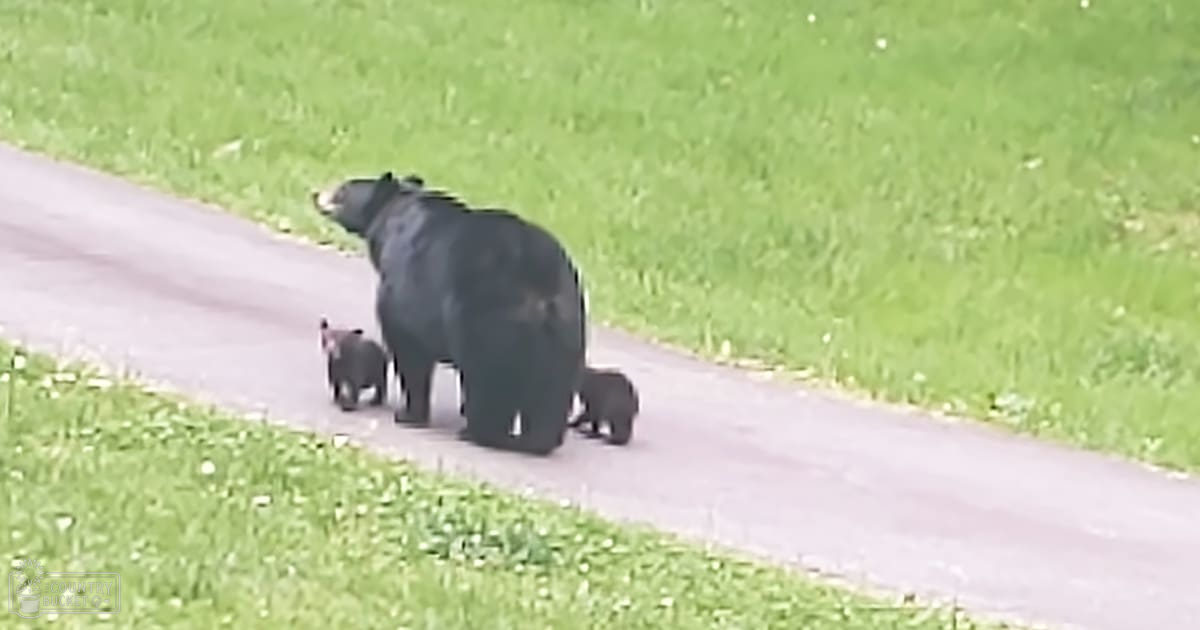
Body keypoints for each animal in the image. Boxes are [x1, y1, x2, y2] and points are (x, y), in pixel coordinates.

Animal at [312, 171, 587, 456]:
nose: (315, 194)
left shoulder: (405, 292)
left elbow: (409, 352)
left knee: (489, 378)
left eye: (343, 189)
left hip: (487, 317)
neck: (395, 216)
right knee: (551, 391)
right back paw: (538, 440)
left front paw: (409, 414)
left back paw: (478, 433)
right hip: (567, 328)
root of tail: (538, 273)